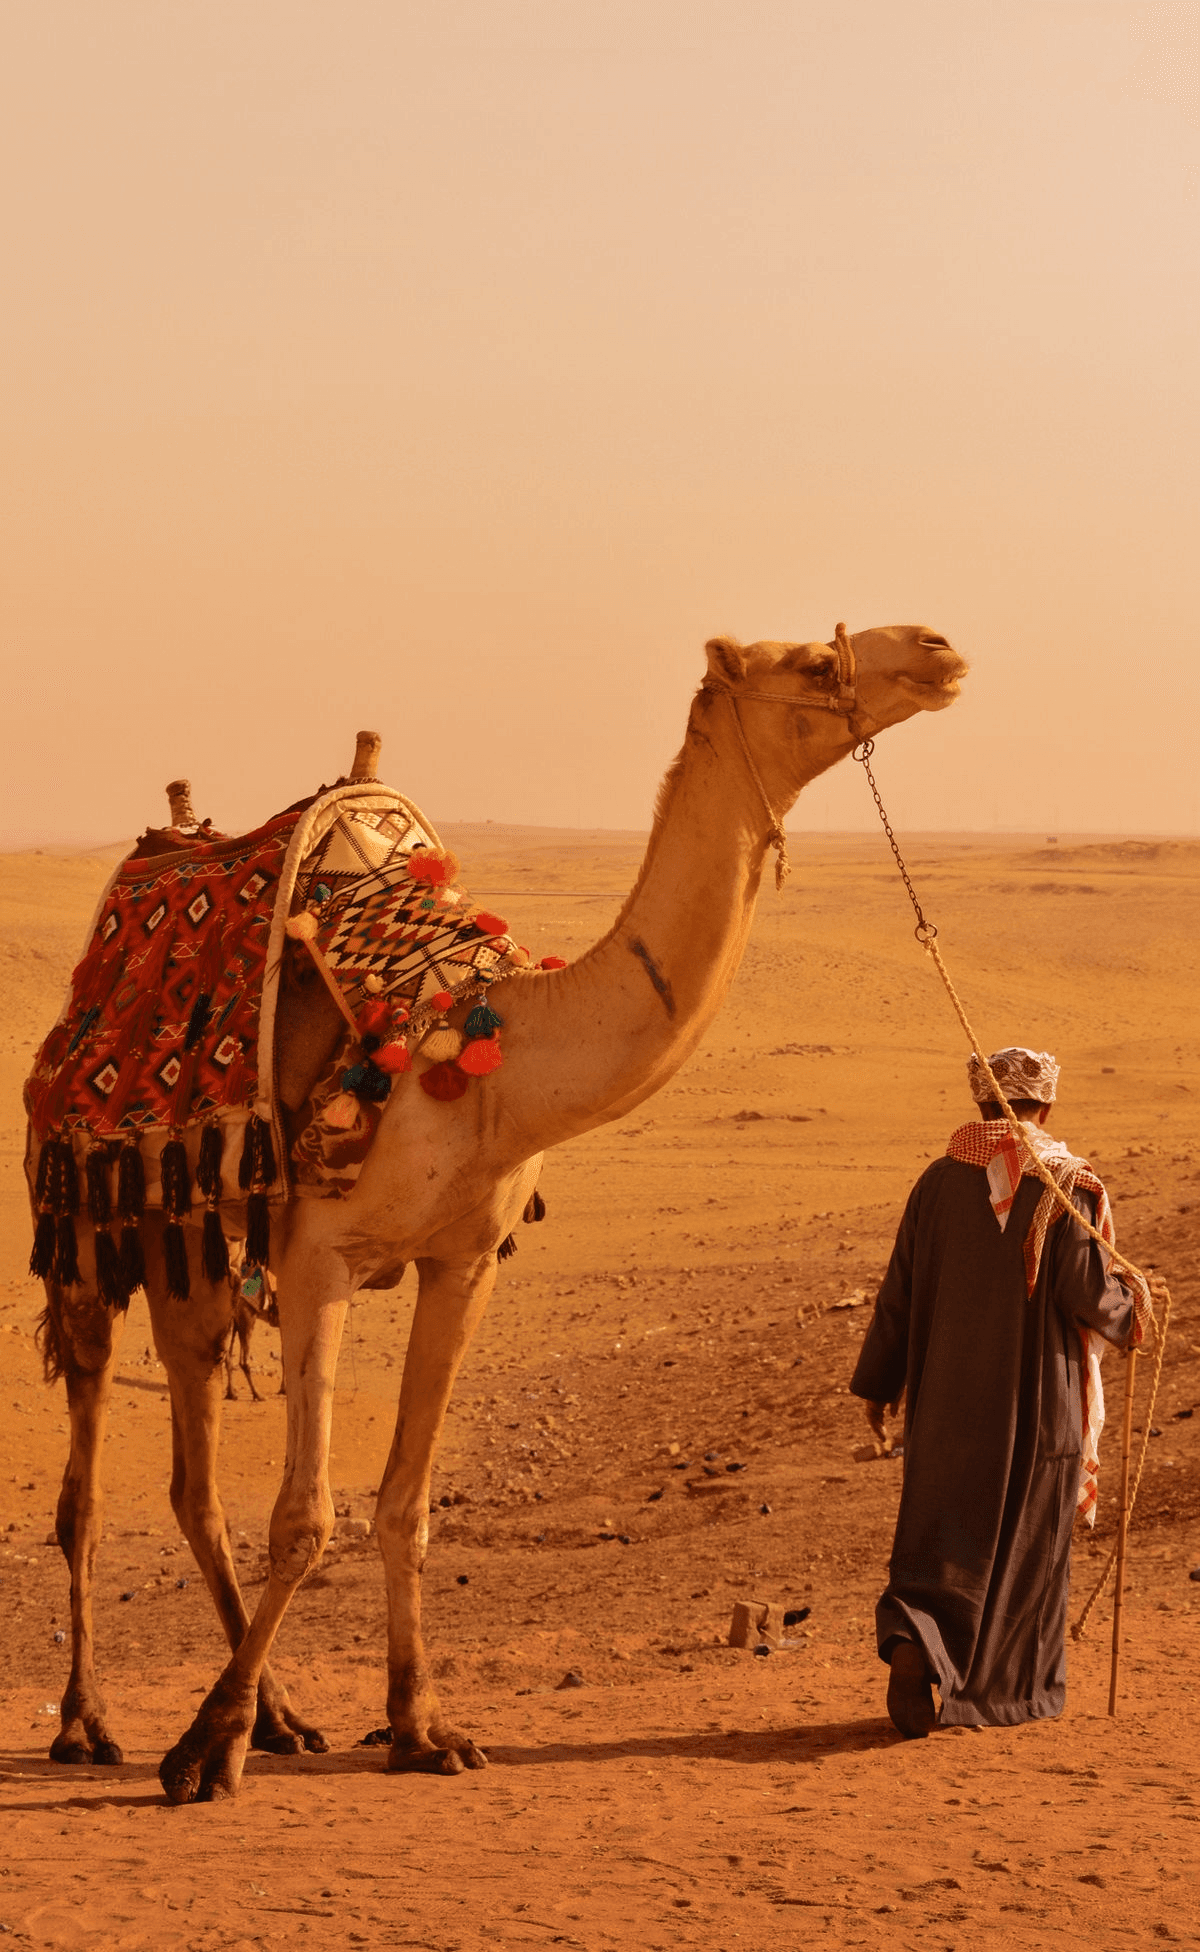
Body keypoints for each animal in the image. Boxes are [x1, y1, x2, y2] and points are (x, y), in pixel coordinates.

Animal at [30, 623, 965, 1799]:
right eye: (803, 660)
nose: (937, 649)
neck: (491, 1058)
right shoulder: (322, 1257)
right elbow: (303, 1516)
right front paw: (207, 1748)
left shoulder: (463, 1260)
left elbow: (405, 1504)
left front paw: (420, 1727)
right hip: (85, 1228)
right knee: (87, 1490)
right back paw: (90, 1722)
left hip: (191, 1249)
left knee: (194, 1483)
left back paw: (283, 1717)